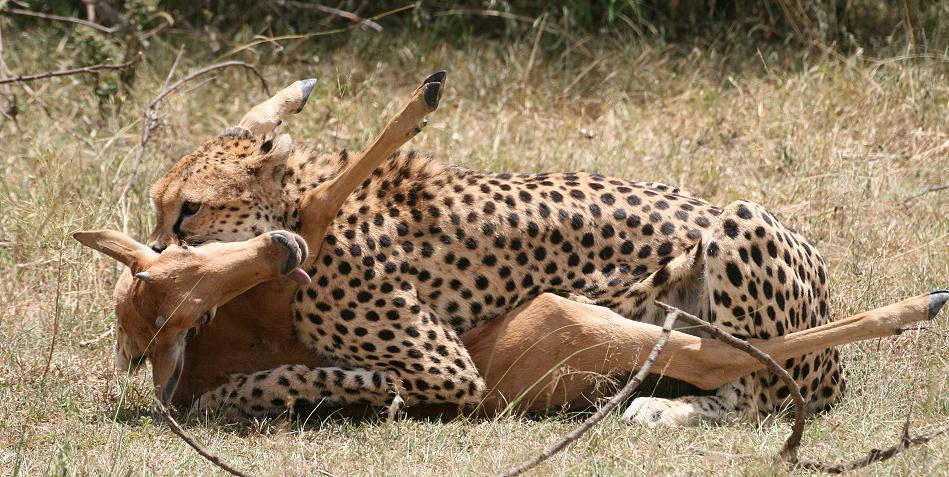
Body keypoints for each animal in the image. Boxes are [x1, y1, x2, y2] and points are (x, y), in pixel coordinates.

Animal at [85, 73, 944, 424]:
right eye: (159, 211)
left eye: (188, 212)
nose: (155, 243)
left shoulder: (444, 364)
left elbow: (266, 381)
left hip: (739, 224)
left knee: (756, 393)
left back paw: (661, 407)